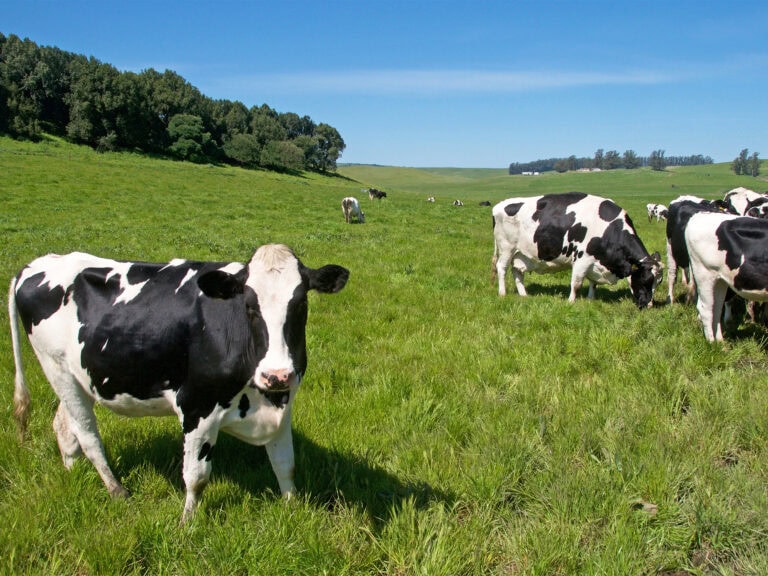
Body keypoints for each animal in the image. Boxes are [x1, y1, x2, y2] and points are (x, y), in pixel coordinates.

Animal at [8, 245, 352, 524]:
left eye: (301, 304)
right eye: (249, 307)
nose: (276, 374)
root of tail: (36, 264)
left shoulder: (283, 403)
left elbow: (285, 465)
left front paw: (292, 511)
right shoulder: (197, 406)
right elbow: (196, 476)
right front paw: (187, 523)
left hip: (81, 377)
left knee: (64, 426)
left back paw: (73, 473)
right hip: (57, 368)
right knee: (87, 434)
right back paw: (117, 491)